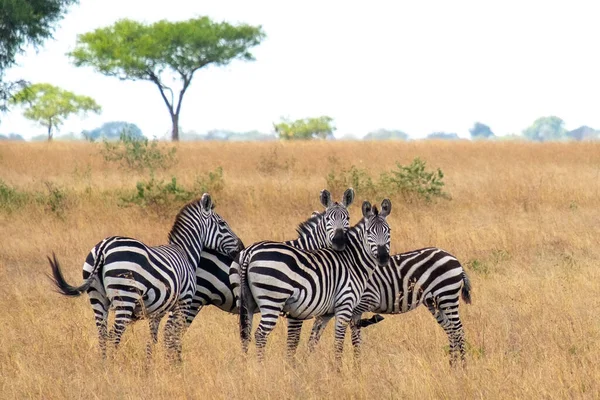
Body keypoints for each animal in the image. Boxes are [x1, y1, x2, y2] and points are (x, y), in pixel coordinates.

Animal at [48, 192, 243, 360]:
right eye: (223, 224)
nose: (241, 247)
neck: (185, 252)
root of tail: (104, 247)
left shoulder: (159, 310)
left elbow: (154, 338)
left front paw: (150, 366)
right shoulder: (184, 300)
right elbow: (171, 336)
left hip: (97, 296)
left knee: (102, 334)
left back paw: (103, 367)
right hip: (126, 295)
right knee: (115, 334)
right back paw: (112, 368)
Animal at [237, 198, 392, 364]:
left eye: (388, 231)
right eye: (369, 232)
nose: (383, 258)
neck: (352, 261)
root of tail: (250, 251)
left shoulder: (326, 313)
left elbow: (313, 340)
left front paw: (305, 364)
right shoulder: (345, 304)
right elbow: (338, 341)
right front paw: (337, 368)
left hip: (249, 303)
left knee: (245, 334)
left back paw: (246, 366)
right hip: (273, 299)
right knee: (260, 334)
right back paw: (261, 366)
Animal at [310, 248, 474, 368]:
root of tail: (453, 258)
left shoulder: (367, 298)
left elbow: (352, 335)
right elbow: (316, 335)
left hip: (447, 295)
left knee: (458, 329)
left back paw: (464, 367)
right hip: (434, 302)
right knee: (451, 330)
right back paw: (452, 365)